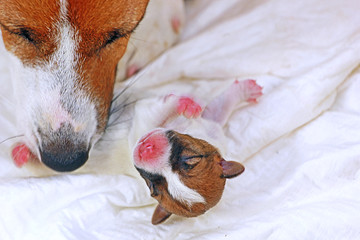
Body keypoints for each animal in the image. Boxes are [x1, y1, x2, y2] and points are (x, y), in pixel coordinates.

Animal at [132, 79, 262, 224]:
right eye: (152, 187)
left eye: (190, 159)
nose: (145, 151)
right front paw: (183, 104)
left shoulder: (212, 124)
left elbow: (222, 107)